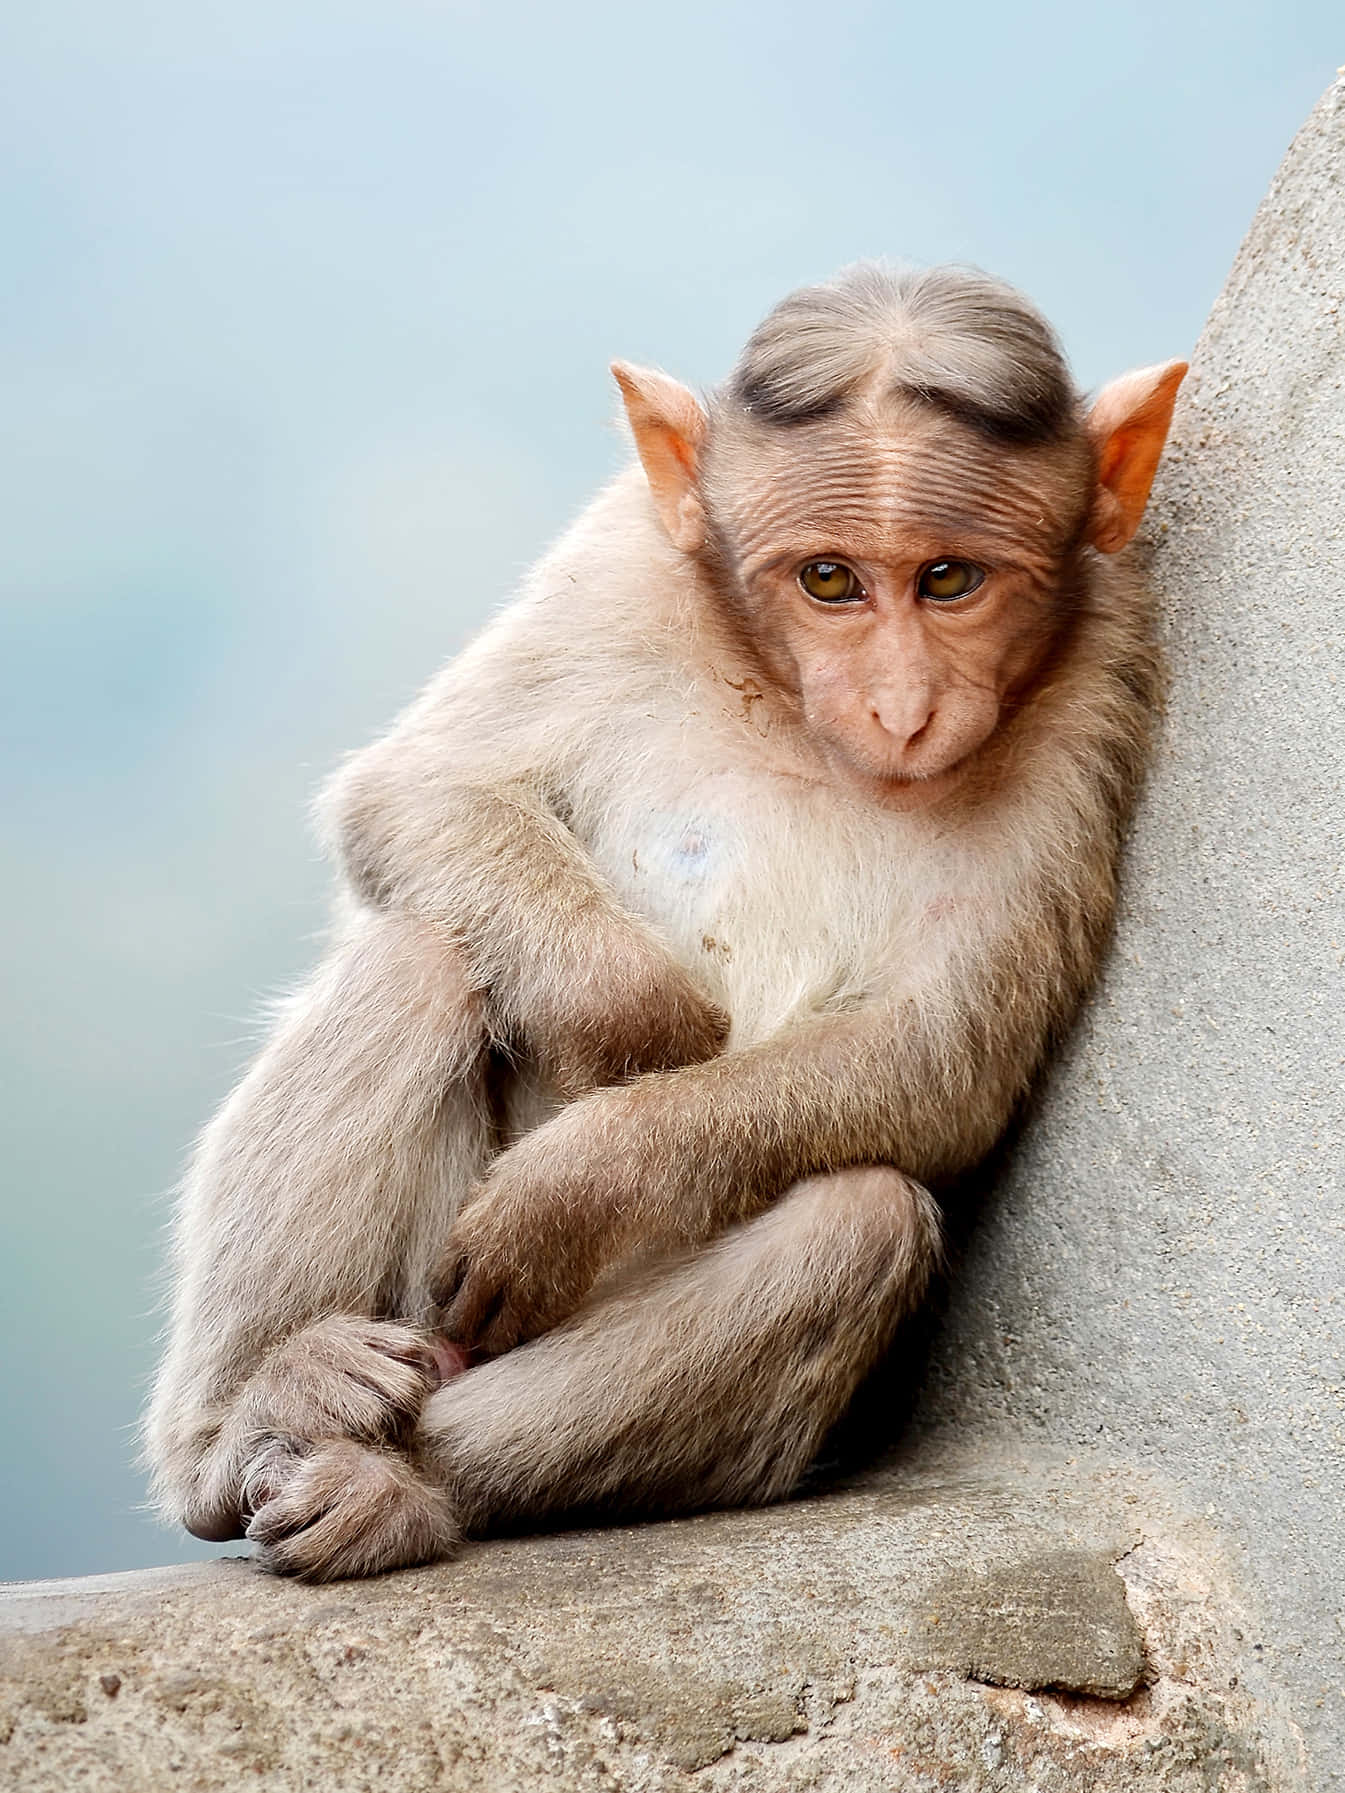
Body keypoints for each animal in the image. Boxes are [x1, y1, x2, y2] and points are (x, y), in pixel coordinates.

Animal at [142, 259, 1183, 1577]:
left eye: (950, 578)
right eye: (828, 577)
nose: (900, 707)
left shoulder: (1103, 667)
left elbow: (946, 1043)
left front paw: (584, 1177)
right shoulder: (620, 557)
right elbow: (419, 789)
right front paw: (629, 1024)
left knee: (857, 1221)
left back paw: (405, 1488)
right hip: (417, 1301)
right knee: (422, 954)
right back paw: (248, 1427)